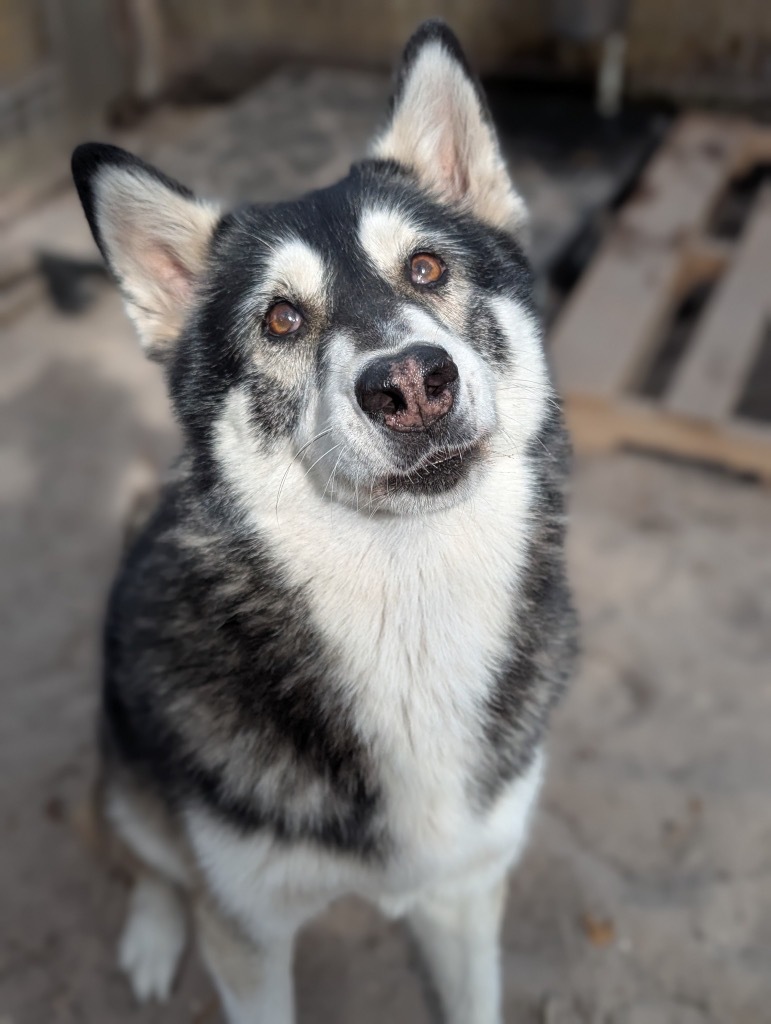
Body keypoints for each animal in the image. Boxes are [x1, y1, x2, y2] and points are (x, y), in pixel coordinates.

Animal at [73, 18, 577, 1024]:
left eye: (425, 267)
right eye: (279, 319)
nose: (411, 384)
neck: (408, 606)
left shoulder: (466, 892)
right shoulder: (248, 932)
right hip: (131, 769)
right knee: (151, 860)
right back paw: (150, 934)